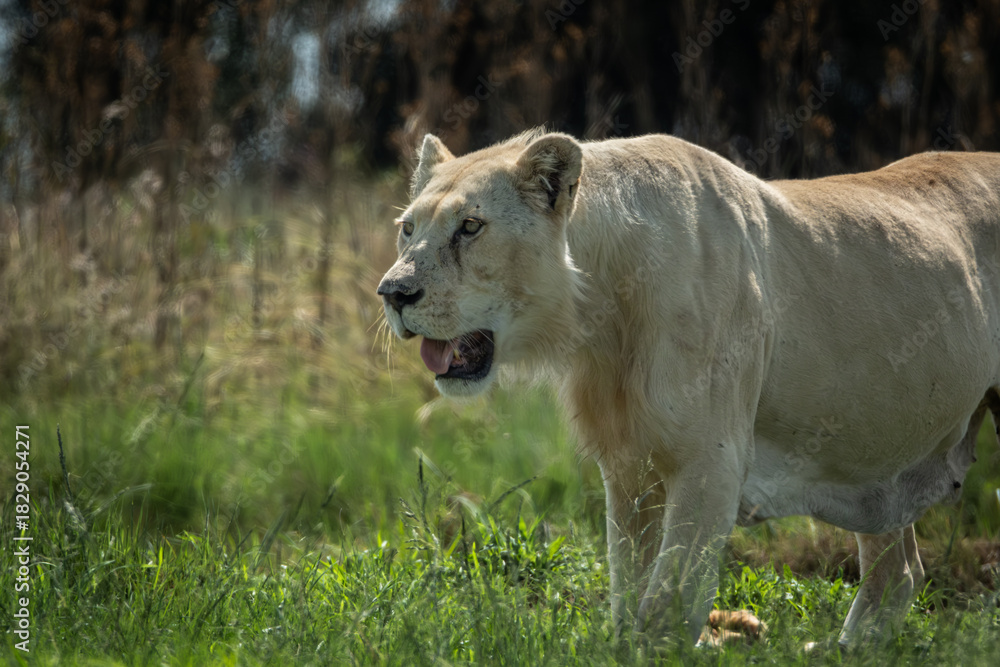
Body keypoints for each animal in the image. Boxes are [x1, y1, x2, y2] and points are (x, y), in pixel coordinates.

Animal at [377, 128, 1000, 648]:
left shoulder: (711, 461)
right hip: (877, 448)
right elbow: (628, 592)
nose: (392, 293)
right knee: (899, 572)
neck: (600, 318)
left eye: (470, 227)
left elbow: (664, 608)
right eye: (408, 228)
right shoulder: (629, 469)